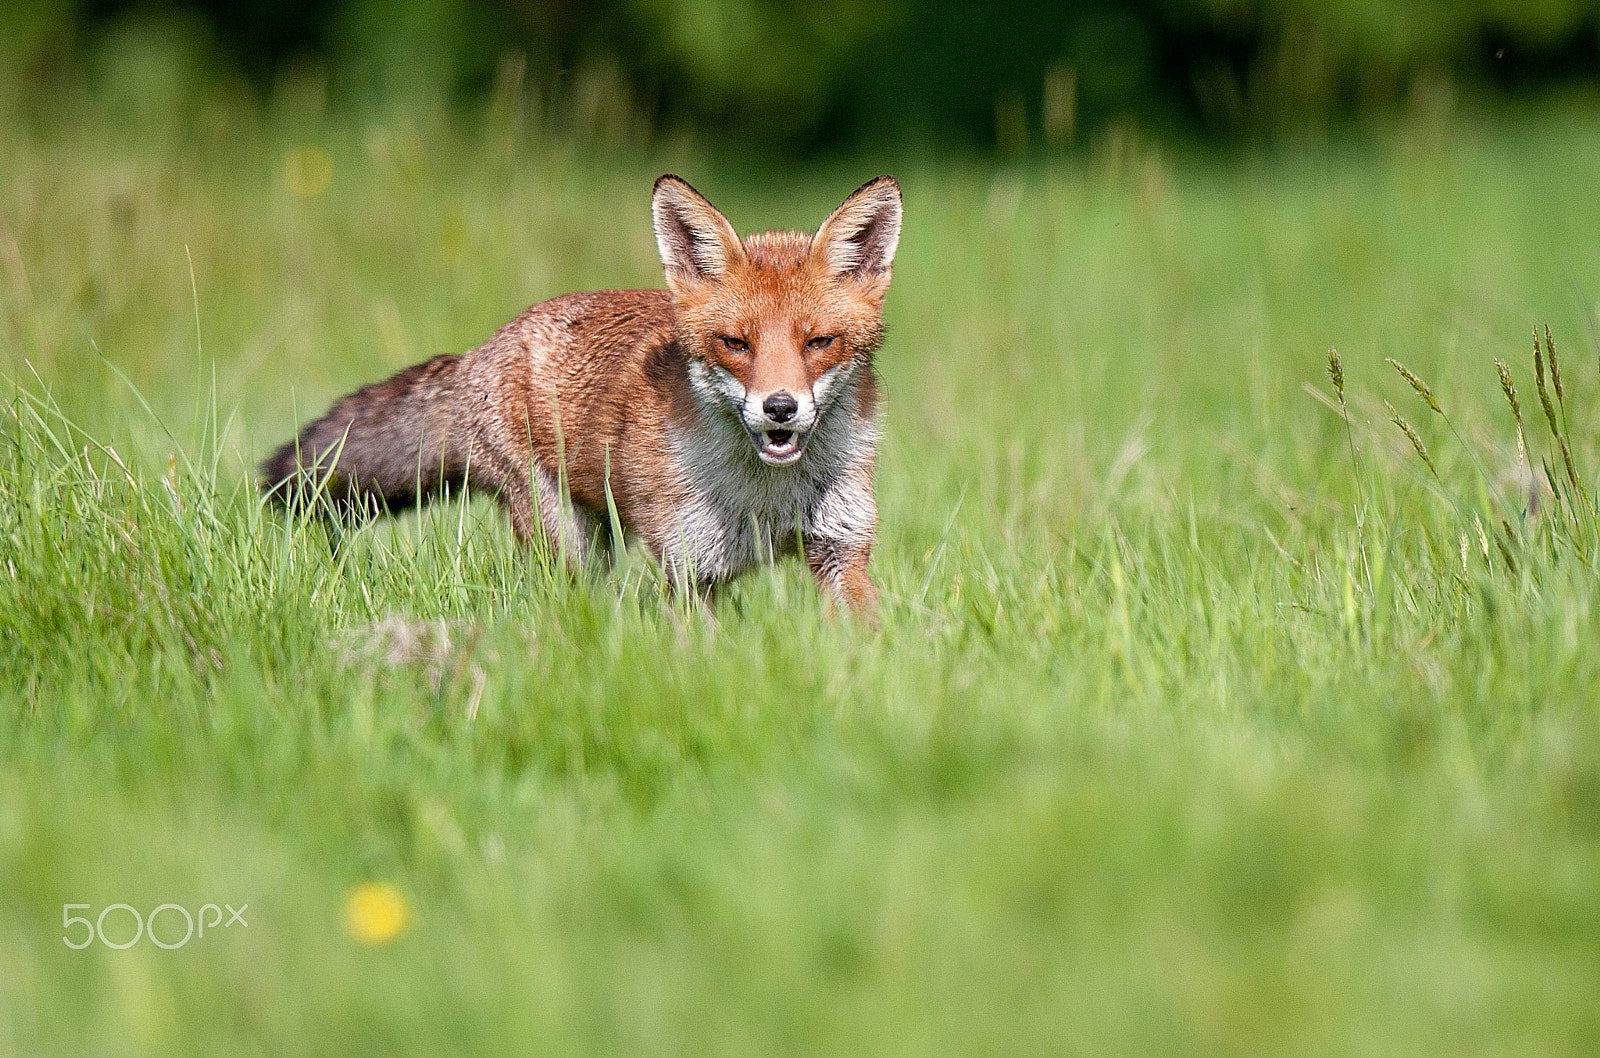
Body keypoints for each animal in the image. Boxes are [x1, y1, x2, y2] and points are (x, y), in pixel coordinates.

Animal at [265, 175, 902, 617]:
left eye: (819, 342)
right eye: (735, 344)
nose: (780, 407)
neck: (767, 498)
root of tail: (478, 352)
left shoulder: (840, 551)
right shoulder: (691, 572)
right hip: (568, 544)